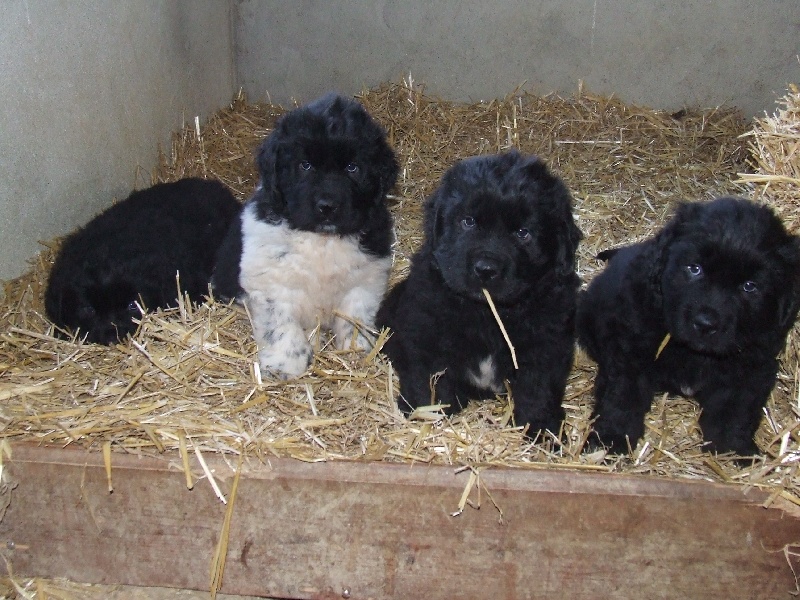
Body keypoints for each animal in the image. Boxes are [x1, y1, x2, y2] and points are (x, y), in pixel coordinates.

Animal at [212, 91, 400, 378]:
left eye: (352, 168)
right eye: (305, 165)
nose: (327, 206)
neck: (321, 240)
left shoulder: (365, 280)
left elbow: (355, 318)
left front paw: (357, 352)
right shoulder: (271, 283)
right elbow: (281, 327)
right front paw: (286, 364)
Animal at [376, 152, 580, 438]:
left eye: (523, 233)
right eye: (468, 221)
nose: (485, 269)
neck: (486, 314)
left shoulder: (545, 343)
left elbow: (538, 390)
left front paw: (542, 429)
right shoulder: (428, 329)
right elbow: (428, 377)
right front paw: (425, 411)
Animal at [580, 197, 800, 454]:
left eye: (749, 286)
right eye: (695, 268)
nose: (705, 324)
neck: (694, 353)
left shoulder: (753, 365)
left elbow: (735, 411)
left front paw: (732, 450)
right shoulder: (631, 349)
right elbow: (622, 397)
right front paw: (610, 441)